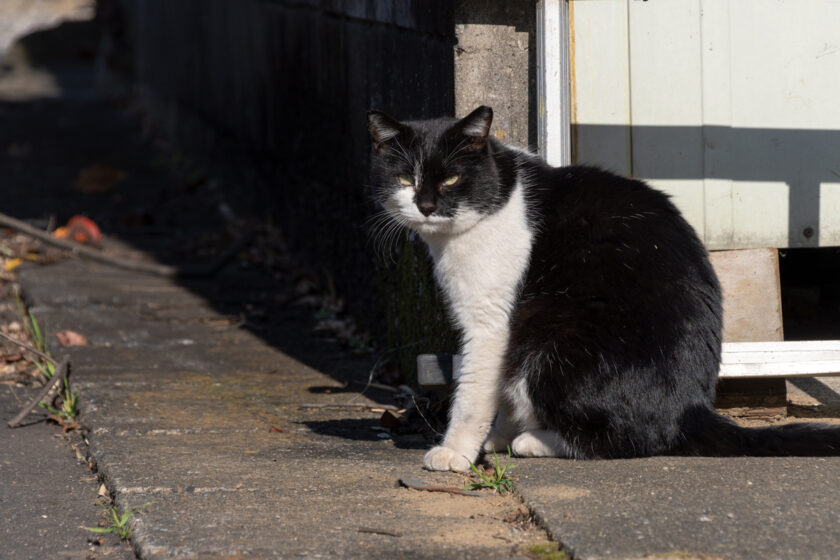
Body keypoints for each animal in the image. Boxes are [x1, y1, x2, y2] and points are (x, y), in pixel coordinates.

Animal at [366, 106, 840, 472]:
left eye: (450, 180)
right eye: (406, 180)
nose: (426, 205)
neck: (499, 197)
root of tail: (692, 410)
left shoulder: (492, 322)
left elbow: (474, 392)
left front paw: (457, 452)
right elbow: (495, 389)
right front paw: (495, 436)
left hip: (553, 343)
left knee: (631, 440)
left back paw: (535, 440)